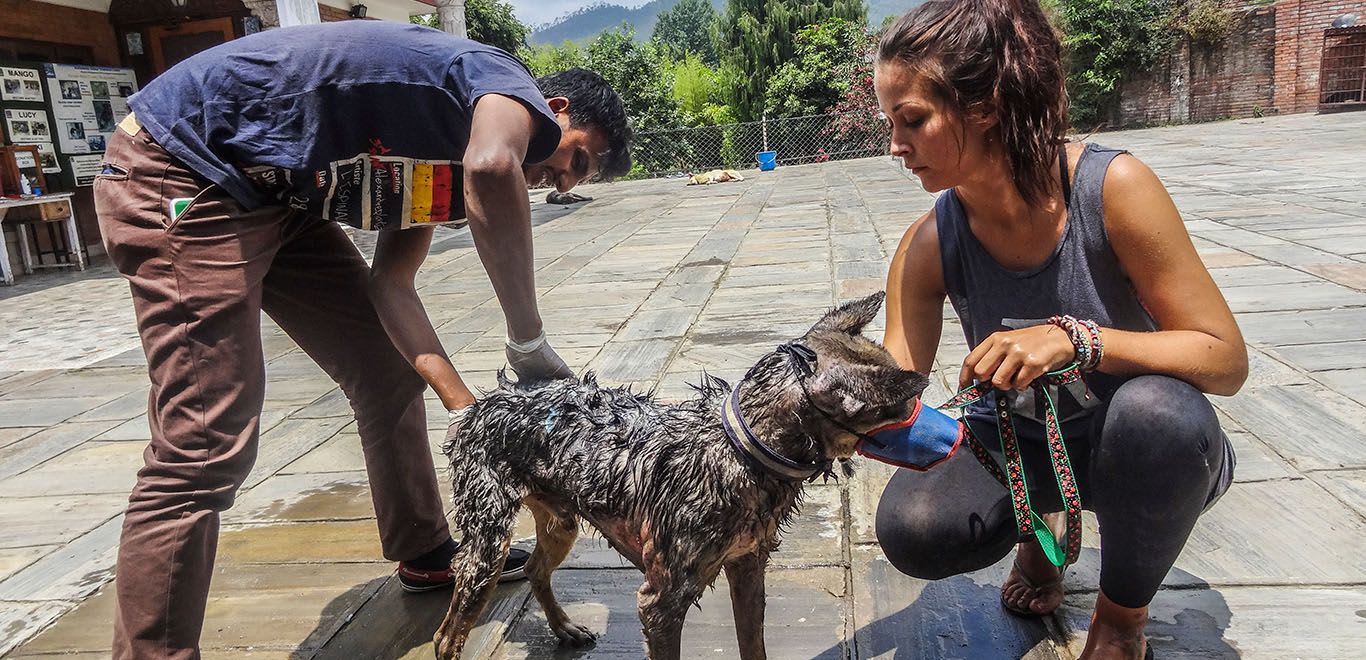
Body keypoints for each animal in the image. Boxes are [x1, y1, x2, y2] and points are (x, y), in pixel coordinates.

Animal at [437, 295, 928, 660]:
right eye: (901, 412)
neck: (742, 447)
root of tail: (480, 405)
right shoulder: (660, 603)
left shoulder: (748, 567)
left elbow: (754, 645)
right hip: (487, 549)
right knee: (448, 636)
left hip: (560, 523)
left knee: (536, 569)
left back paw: (565, 629)